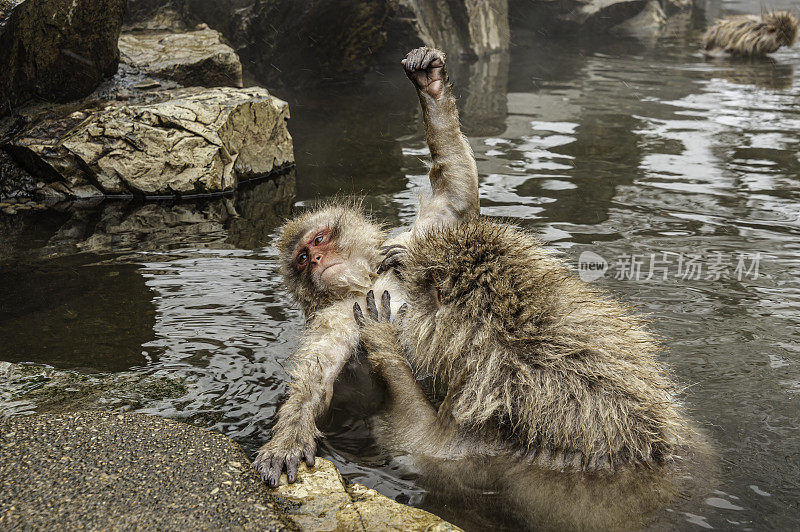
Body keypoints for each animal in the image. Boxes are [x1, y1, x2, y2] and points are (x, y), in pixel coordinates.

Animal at [255, 47, 482, 488]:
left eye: (319, 240)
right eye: (302, 259)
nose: (318, 261)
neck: (365, 284)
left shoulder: (421, 239)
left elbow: (456, 196)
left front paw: (430, 83)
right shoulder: (336, 320)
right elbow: (315, 379)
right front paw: (287, 438)